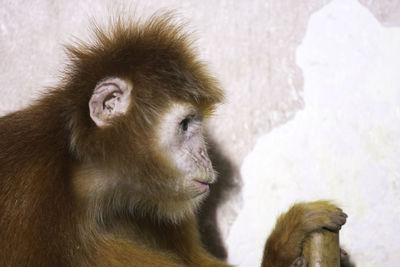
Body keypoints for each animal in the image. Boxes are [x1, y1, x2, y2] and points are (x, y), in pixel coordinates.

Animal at [0, 13, 346, 266]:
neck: (88, 181)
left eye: (197, 125)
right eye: (185, 124)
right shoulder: (31, 193)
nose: (205, 154)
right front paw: (281, 246)